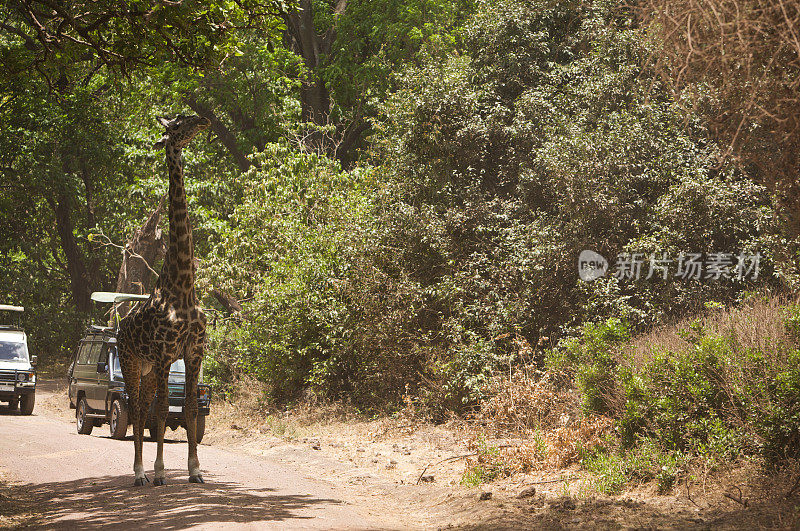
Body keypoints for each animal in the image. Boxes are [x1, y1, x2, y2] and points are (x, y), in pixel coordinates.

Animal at [116, 113, 211, 486]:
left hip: (146, 368)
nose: (204, 120)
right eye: (179, 122)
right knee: (136, 407)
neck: (183, 285)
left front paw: (195, 470)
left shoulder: (192, 351)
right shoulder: (164, 354)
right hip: (131, 362)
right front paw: (158, 472)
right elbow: (160, 410)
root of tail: (118, 328)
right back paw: (140, 473)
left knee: (141, 406)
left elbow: (188, 408)